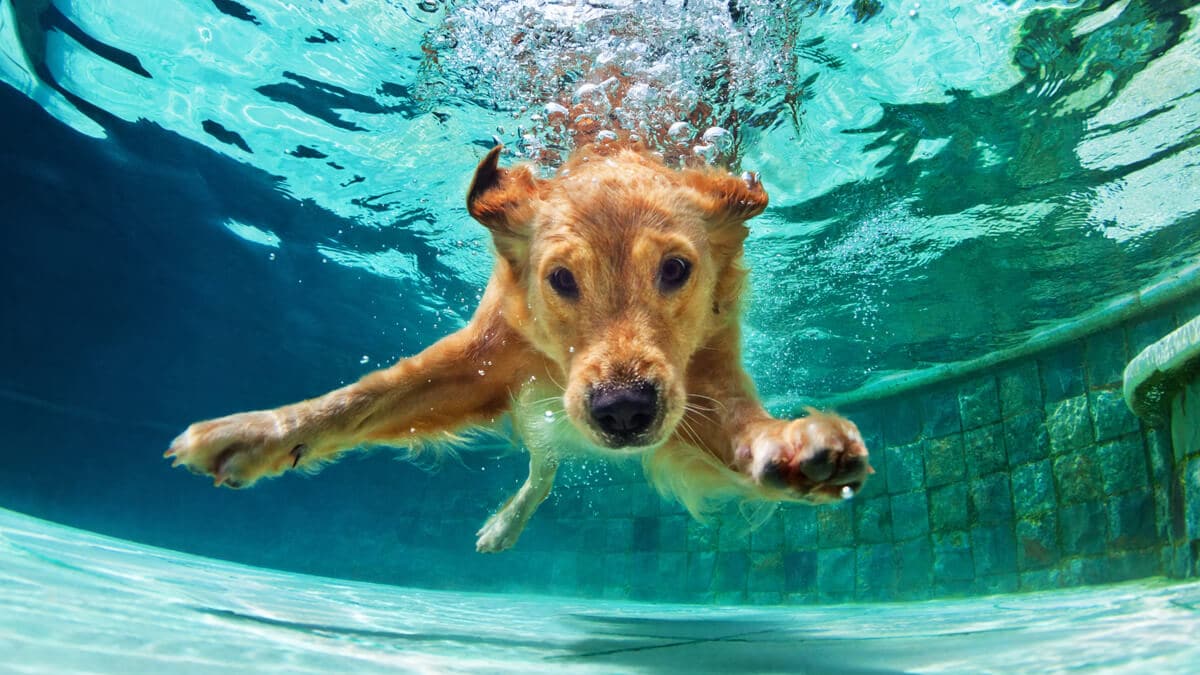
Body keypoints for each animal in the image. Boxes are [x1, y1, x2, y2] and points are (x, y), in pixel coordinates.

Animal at [164, 142, 868, 552]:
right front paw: (257, 433)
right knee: (542, 465)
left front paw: (794, 446)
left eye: (675, 269)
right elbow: (363, 398)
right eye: (561, 279)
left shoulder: (704, 379)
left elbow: (743, 427)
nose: (623, 410)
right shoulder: (483, 359)